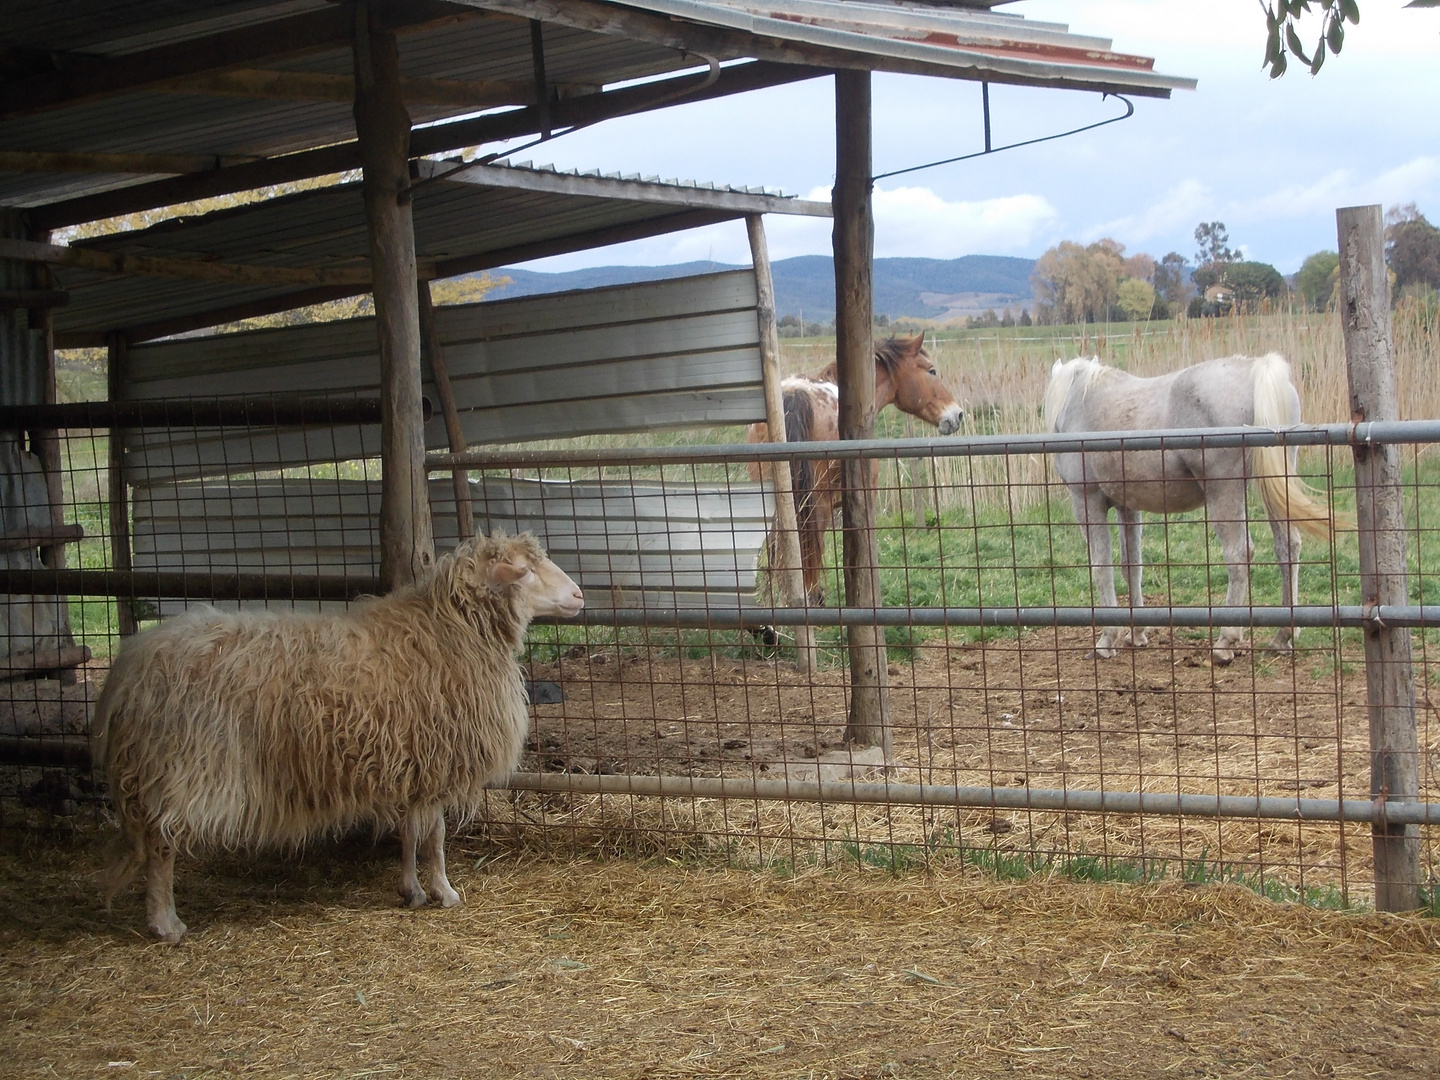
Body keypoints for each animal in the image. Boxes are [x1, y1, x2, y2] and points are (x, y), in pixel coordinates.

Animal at [95, 538, 584, 944]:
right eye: (526, 569)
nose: (580, 595)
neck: (450, 630)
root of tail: (129, 667)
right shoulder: (436, 762)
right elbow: (436, 837)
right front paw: (444, 892)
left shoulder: (411, 762)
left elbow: (410, 832)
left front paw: (411, 890)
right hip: (182, 768)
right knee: (161, 847)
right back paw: (165, 923)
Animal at [1048, 355, 1336, 665]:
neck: (1079, 399)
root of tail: (1255, 369)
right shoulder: (1128, 506)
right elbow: (1131, 565)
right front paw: (1136, 634)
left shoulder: (1087, 501)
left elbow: (1101, 567)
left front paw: (1106, 640)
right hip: (1273, 485)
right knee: (1288, 547)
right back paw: (1283, 636)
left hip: (1225, 492)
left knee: (1239, 554)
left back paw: (1225, 642)